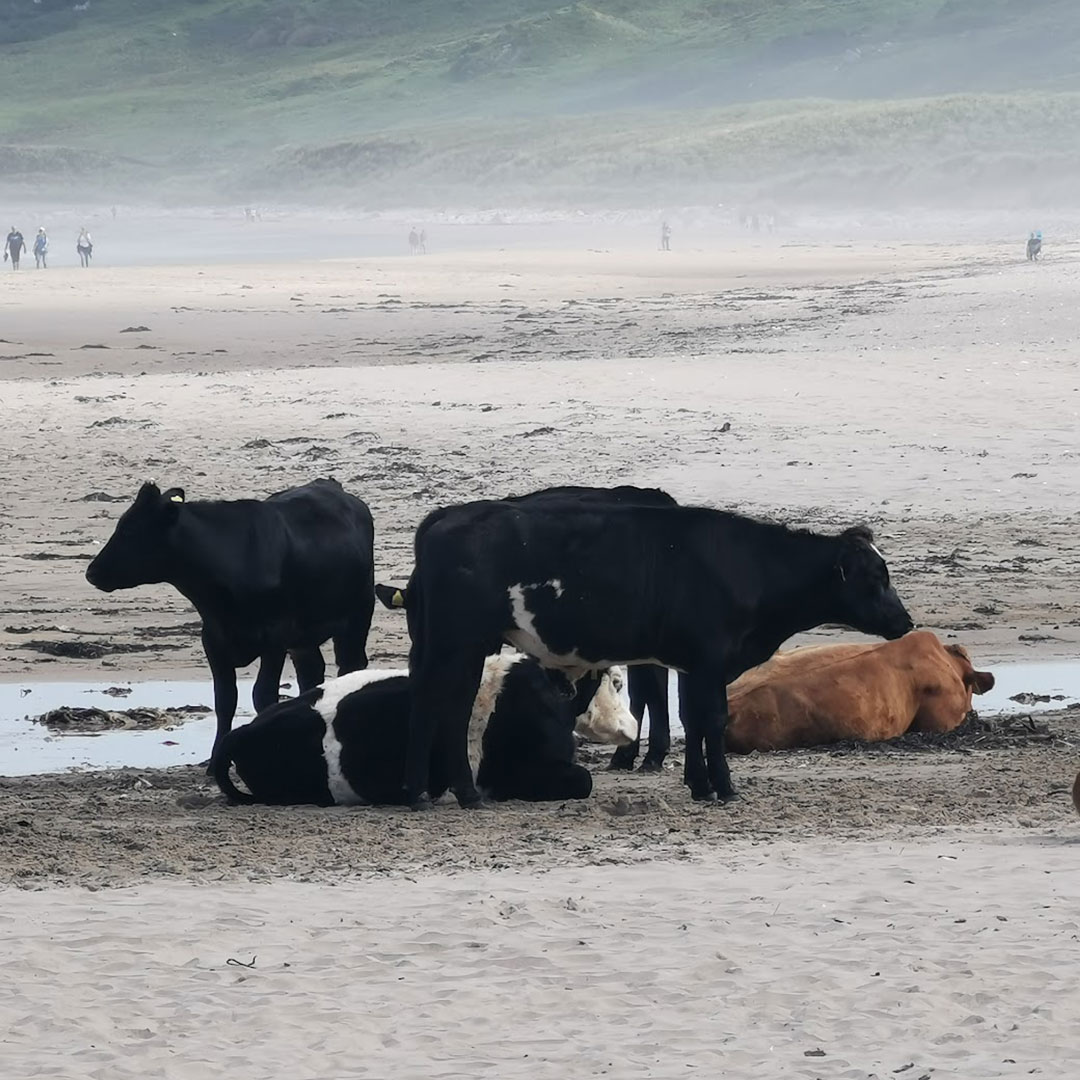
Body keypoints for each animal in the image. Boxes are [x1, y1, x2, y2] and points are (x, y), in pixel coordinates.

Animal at [83, 477, 375, 764]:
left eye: (130, 531)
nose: (92, 572)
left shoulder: (275, 636)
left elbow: (263, 695)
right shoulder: (213, 638)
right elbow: (225, 700)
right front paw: (215, 760)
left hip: (358, 615)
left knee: (351, 665)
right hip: (303, 638)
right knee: (311, 674)